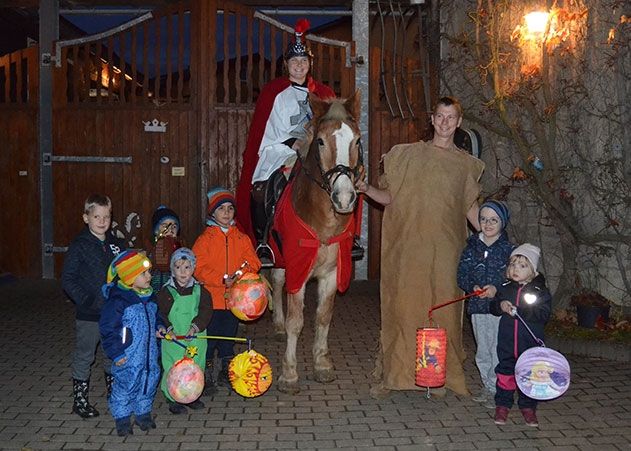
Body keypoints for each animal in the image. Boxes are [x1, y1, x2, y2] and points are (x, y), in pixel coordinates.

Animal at [270, 90, 362, 394]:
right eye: (320, 141)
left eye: (357, 140)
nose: (344, 198)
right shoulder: (297, 269)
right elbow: (295, 321)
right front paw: (289, 374)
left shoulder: (332, 273)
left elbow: (323, 316)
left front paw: (321, 363)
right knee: (276, 282)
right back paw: (276, 325)